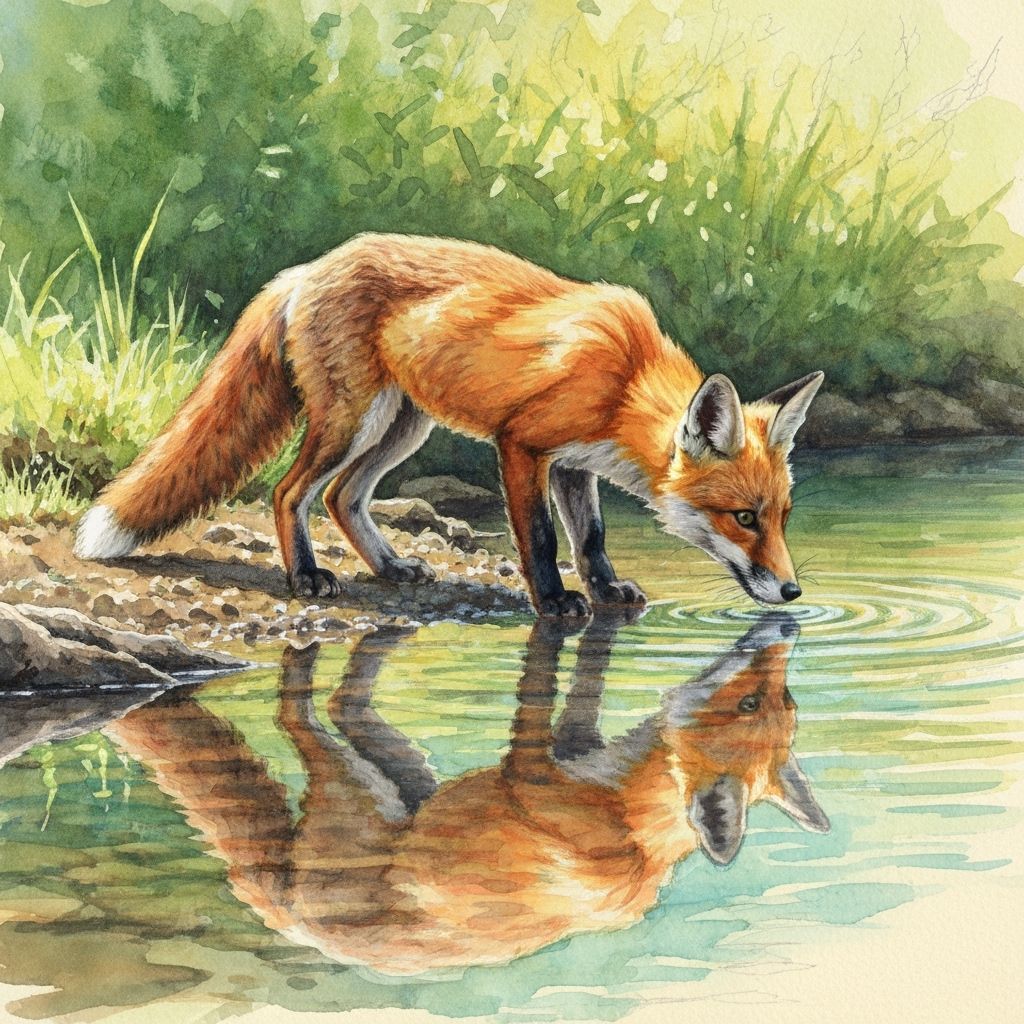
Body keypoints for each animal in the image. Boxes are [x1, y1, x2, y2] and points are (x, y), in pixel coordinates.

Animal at [74, 233, 824, 614]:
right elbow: (542, 539)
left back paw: (390, 567)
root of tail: (307, 267)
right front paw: (555, 602)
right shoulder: (523, 444)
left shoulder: (574, 463)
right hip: (352, 420)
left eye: (783, 516)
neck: (625, 380)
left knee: (343, 497)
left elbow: (592, 538)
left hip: (404, 428)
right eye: (744, 518)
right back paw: (308, 577)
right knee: (290, 492)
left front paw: (607, 590)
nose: (793, 591)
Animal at [104, 610, 828, 974]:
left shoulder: (537, 766)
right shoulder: (546, 762)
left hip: (383, 780)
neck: (631, 828)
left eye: (782, 700)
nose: (780, 632)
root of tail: (295, 926)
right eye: (758, 702)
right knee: (307, 710)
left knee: (315, 712)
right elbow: (555, 693)